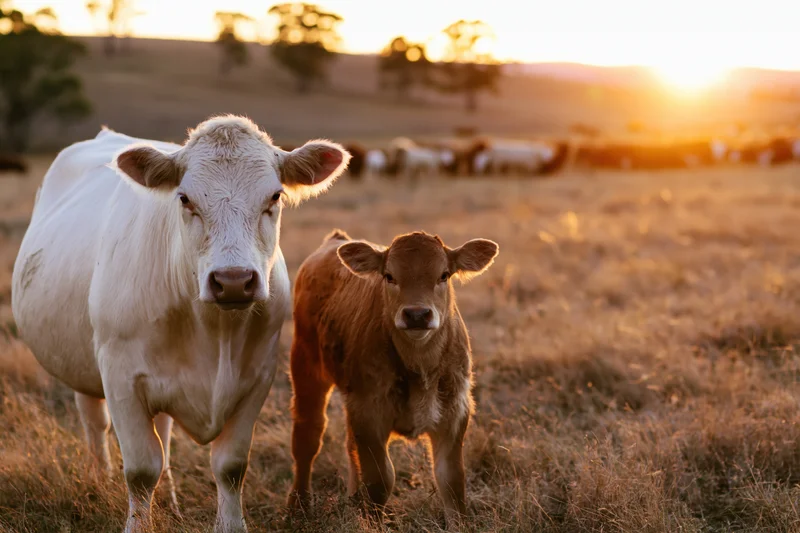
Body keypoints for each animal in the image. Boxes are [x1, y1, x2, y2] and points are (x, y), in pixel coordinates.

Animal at [11, 115, 351, 533]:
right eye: (185, 199)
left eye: (274, 197)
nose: (233, 280)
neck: (214, 332)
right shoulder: (120, 378)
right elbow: (141, 470)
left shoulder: (258, 377)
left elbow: (231, 466)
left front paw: (229, 525)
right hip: (81, 364)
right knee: (95, 424)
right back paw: (98, 481)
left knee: (165, 434)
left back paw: (169, 501)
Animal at [286, 229, 499, 527]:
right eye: (389, 276)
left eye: (444, 275)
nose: (417, 315)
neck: (420, 368)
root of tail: (335, 240)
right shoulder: (369, 412)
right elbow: (380, 480)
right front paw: (371, 522)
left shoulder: (455, 413)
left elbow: (452, 482)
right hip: (306, 364)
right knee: (307, 437)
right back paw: (299, 507)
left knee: (349, 446)